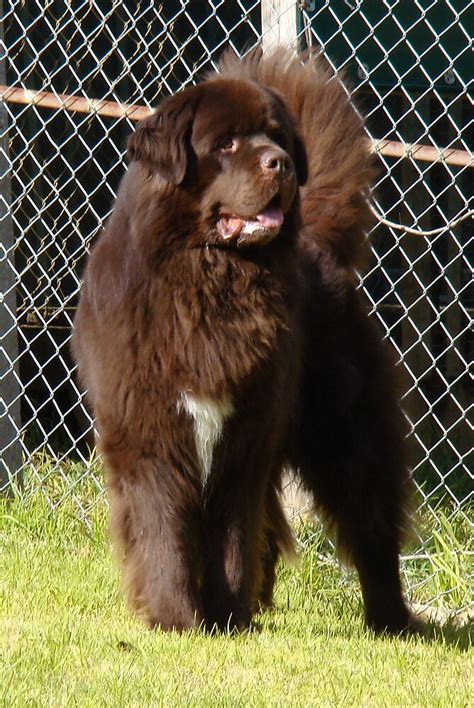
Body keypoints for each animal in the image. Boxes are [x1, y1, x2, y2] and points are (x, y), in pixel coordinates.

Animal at [72, 51, 416, 636]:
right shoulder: (151, 432)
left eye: (275, 137)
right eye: (226, 144)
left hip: (342, 428)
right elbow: (165, 533)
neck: (214, 283)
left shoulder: (243, 439)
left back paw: (391, 621)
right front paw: (178, 619)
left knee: (371, 521)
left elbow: (232, 534)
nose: (280, 163)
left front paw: (227, 619)